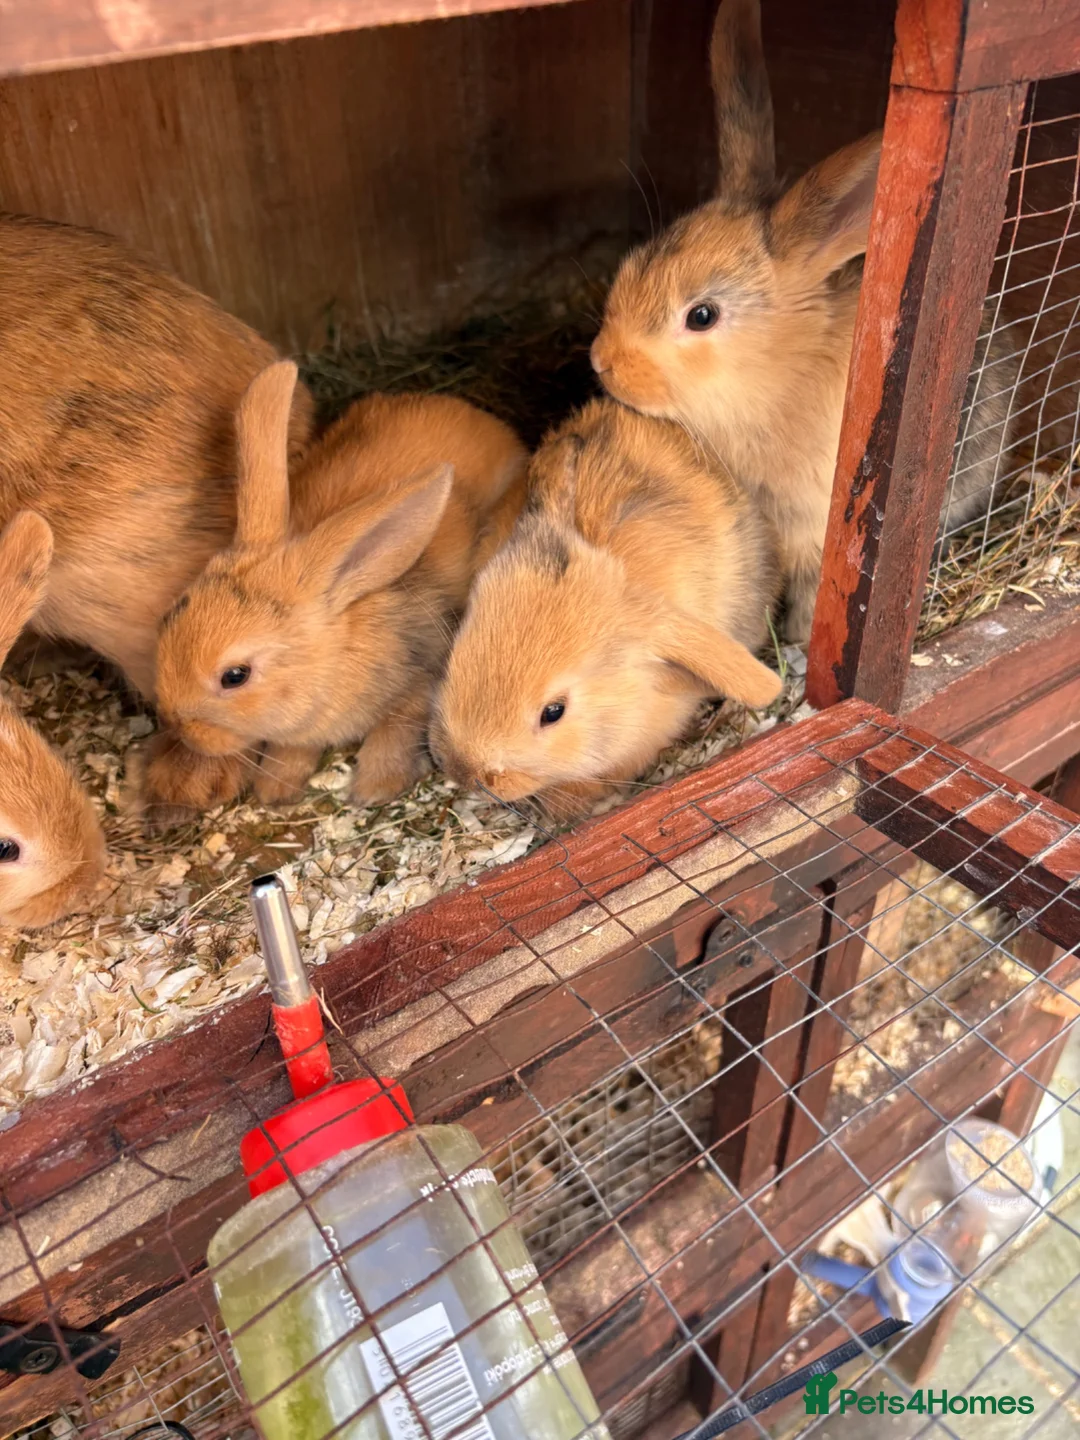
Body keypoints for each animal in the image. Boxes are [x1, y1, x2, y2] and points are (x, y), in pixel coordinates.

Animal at [154, 361, 528, 808]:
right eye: (167, 619)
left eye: (235, 676)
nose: (178, 726)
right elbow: (293, 748)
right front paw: (276, 790)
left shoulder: (421, 680)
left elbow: (395, 728)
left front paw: (374, 789)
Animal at [589, 0, 1016, 642]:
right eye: (636, 259)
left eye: (702, 316)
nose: (602, 362)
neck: (775, 379)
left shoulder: (822, 540)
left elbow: (812, 604)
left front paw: (792, 646)